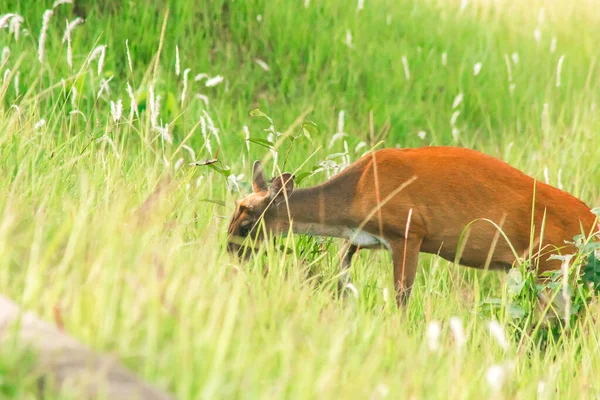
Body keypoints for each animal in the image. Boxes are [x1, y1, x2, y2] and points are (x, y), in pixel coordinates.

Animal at [226, 147, 600, 306]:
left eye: (246, 224)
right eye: (232, 213)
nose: (229, 253)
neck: (359, 190)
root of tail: (592, 223)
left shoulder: (408, 231)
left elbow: (402, 295)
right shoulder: (360, 238)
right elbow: (341, 276)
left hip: (551, 262)